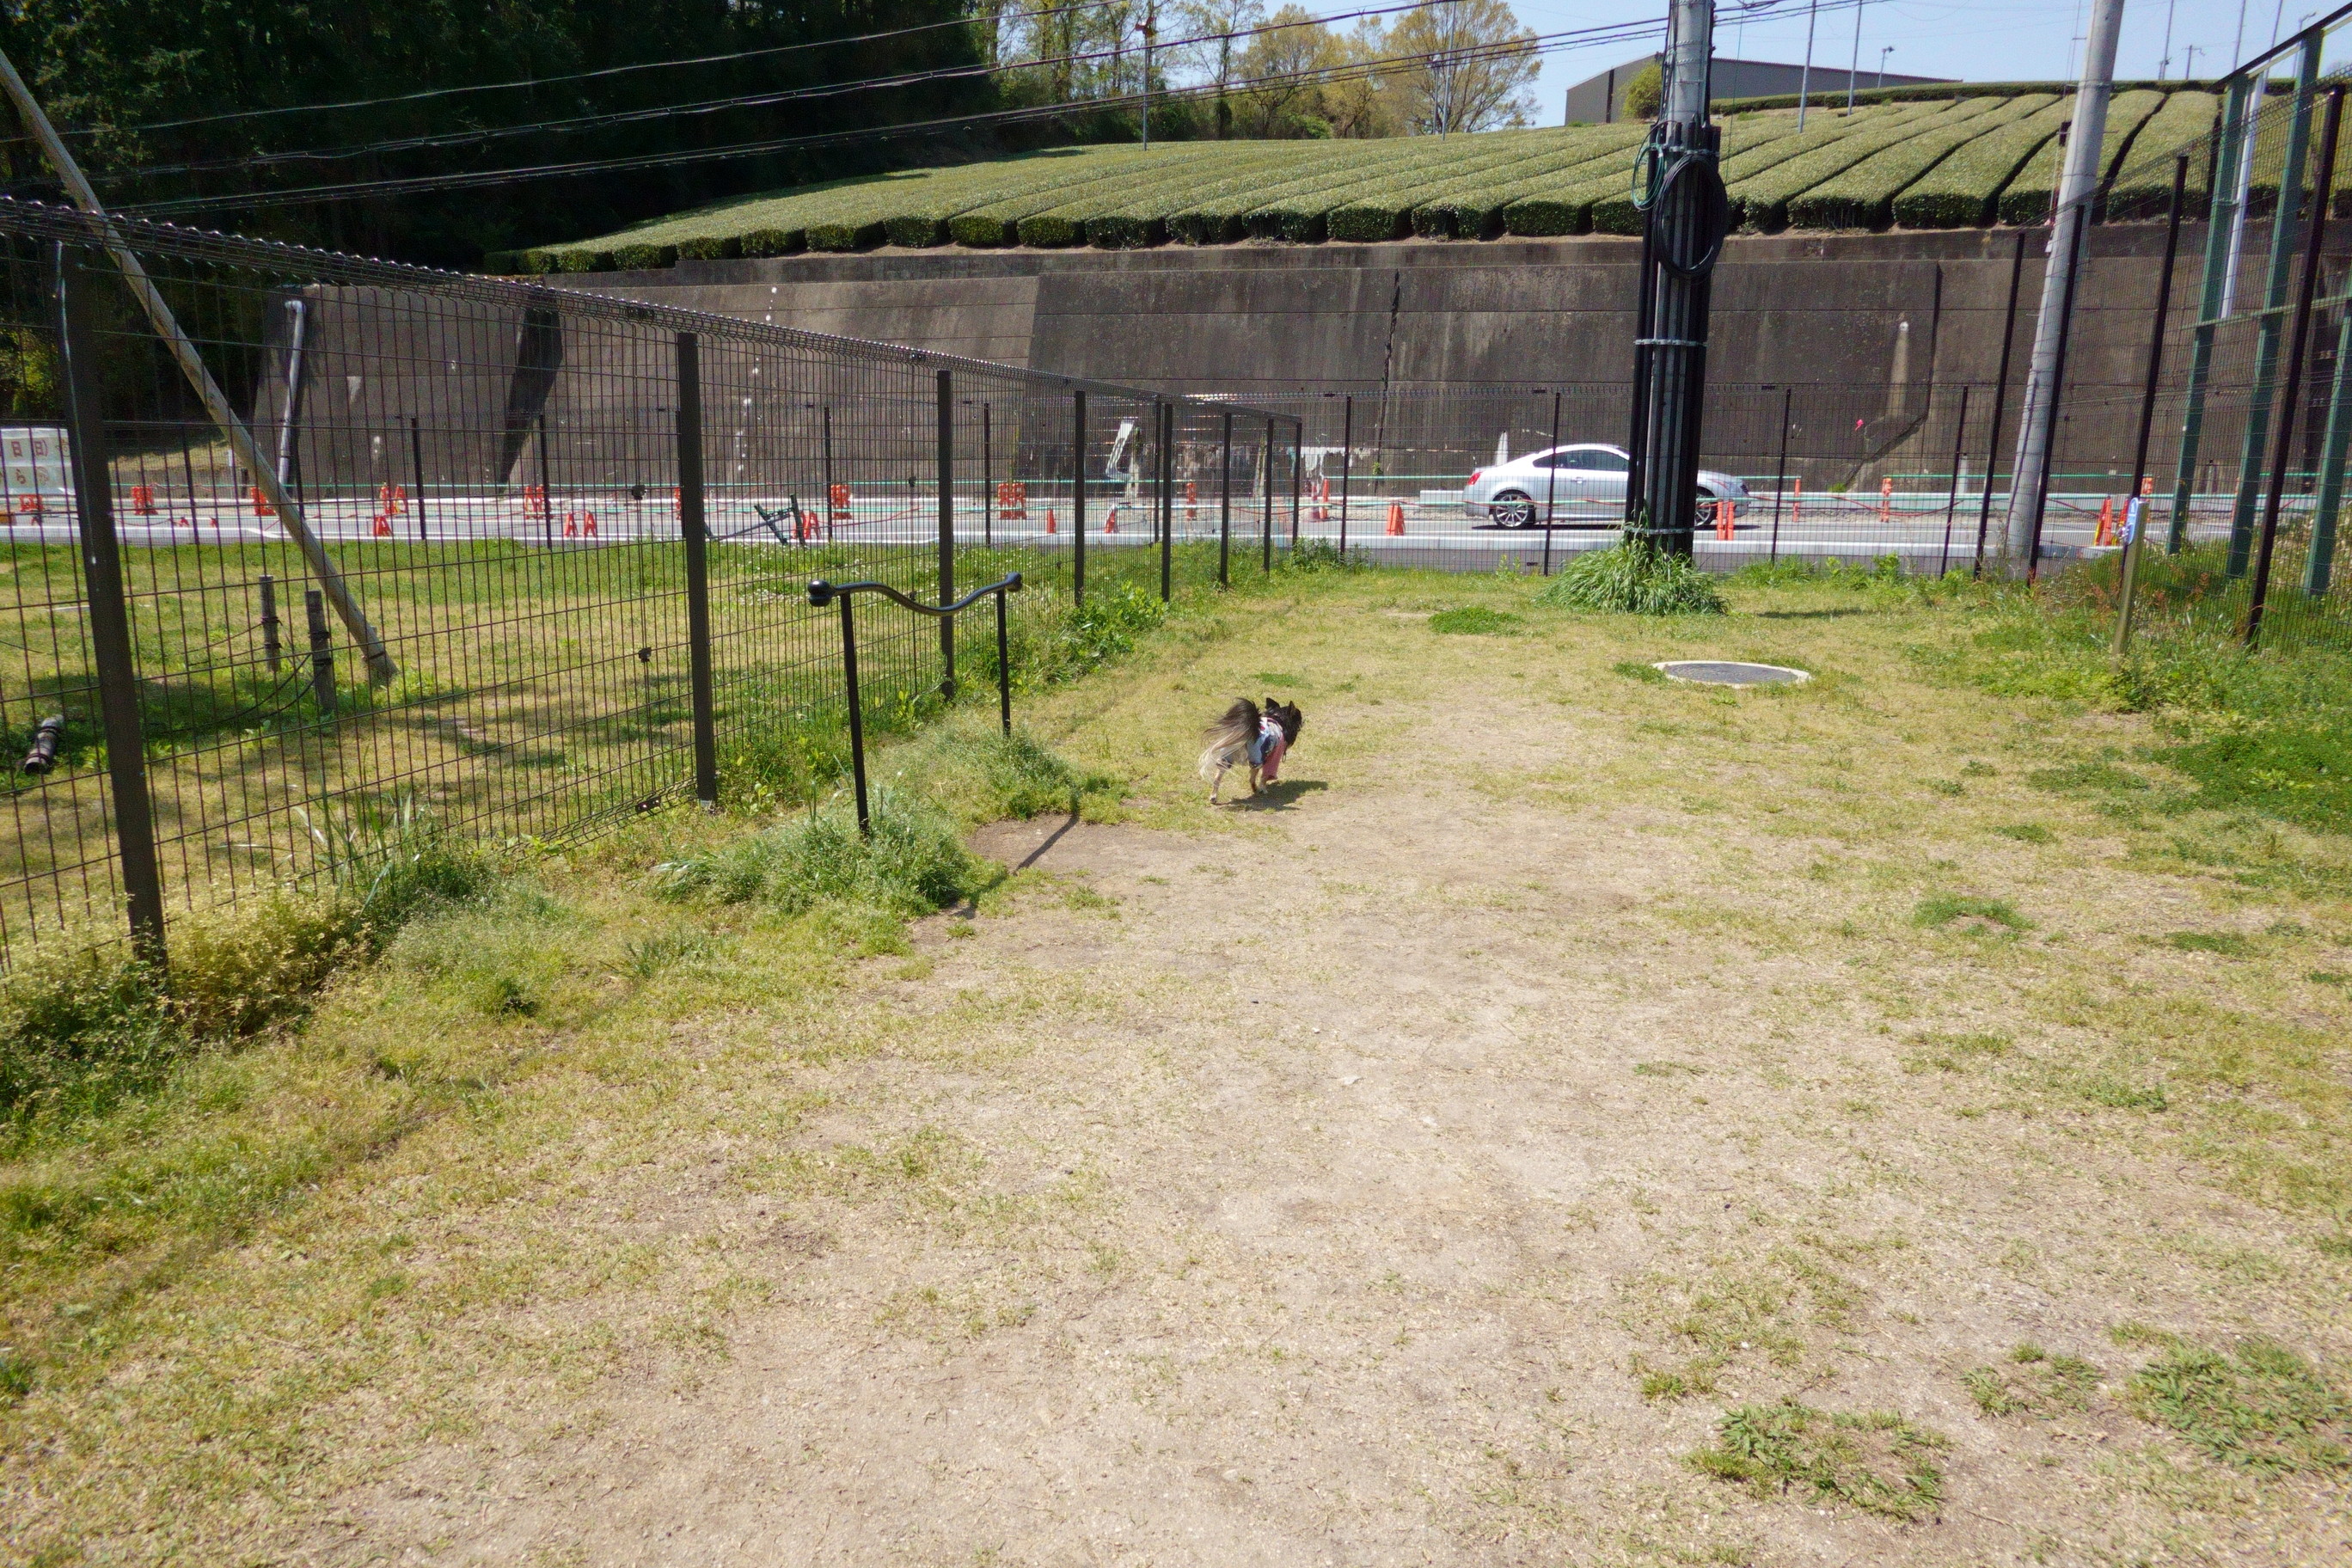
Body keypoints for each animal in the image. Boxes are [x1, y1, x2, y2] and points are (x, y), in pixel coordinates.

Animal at [1194, 695, 1308, 804]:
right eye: (1299, 716)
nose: (1303, 720)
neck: (1278, 718)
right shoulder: (1273, 756)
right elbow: (1264, 776)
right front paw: (1263, 789)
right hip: (1257, 758)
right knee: (1253, 776)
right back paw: (1257, 789)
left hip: (1227, 757)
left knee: (1217, 778)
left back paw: (1214, 797)